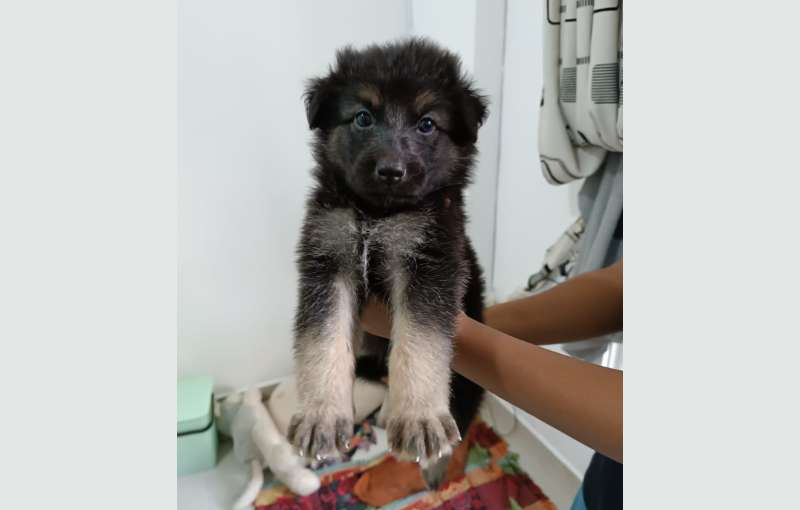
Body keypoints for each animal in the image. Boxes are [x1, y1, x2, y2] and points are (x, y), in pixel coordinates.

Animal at [288, 38, 488, 486]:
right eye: (363, 118)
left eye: (427, 124)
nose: (391, 171)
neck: (376, 214)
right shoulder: (328, 258)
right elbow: (322, 341)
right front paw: (321, 416)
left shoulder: (429, 263)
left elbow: (420, 342)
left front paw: (418, 418)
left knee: (463, 423)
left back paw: (437, 469)